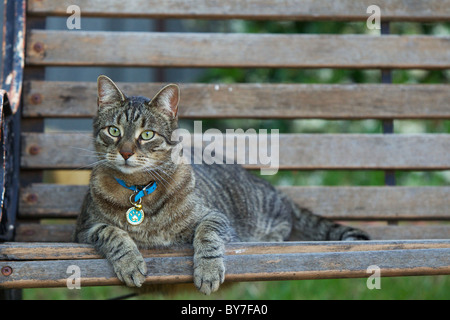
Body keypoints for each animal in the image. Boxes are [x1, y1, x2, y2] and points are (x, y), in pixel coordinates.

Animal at [74, 75, 370, 296]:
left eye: (147, 135)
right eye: (113, 131)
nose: (125, 152)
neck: (138, 190)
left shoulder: (215, 215)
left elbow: (207, 234)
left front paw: (208, 270)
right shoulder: (84, 230)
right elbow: (111, 232)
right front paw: (130, 262)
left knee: (284, 222)